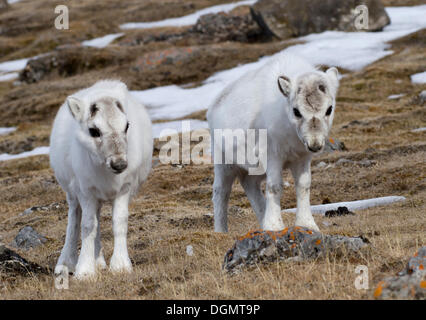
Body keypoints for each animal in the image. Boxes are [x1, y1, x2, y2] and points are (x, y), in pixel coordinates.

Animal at [50, 79, 153, 278]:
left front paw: (120, 266)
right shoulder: (85, 191)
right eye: (94, 131)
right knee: (74, 220)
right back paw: (66, 263)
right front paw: (85, 271)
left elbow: (119, 222)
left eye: (127, 126)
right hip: (72, 194)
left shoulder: (124, 189)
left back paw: (99, 262)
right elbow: (87, 225)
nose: (119, 164)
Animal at [206, 52, 340, 232]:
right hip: (224, 163)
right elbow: (274, 187)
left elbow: (303, 186)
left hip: (253, 169)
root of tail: (211, 108)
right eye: (296, 111)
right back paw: (221, 231)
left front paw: (307, 224)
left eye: (329, 109)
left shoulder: (302, 157)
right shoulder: (272, 155)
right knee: (221, 192)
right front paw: (274, 226)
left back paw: (262, 219)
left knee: (250, 185)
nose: (315, 145)